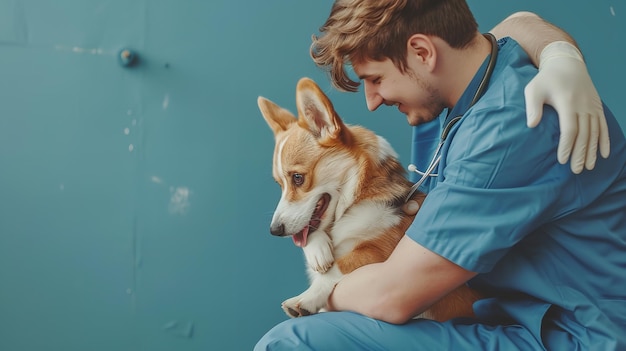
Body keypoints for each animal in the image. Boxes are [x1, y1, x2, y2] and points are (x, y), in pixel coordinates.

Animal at [256, 77, 480, 322]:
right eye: (279, 184)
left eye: (298, 178)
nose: (274, 230)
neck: (354, 203)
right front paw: (318, 251)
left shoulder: (382, 254)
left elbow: (342, 264)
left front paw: (305, 298)